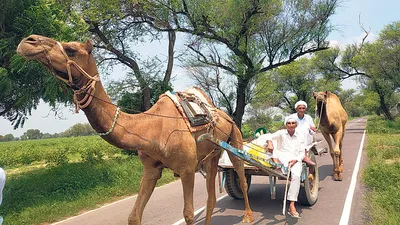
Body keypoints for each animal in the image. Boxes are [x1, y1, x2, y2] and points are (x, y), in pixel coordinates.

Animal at [18, 34, 253, 224]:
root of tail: (224, 114)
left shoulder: (187, 168)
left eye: (70, 49)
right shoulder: (151, 169)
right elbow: (133, 216)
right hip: (212, 154)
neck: (150, 128)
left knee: (241, 176)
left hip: (235, 137)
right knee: (212, 197)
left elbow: (188, 214)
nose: (27, 41)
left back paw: (248, 216)